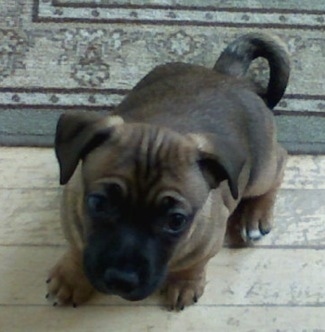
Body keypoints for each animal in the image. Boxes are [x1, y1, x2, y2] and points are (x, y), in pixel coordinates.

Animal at [45, 32, 288, 310]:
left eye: (176, 221)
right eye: (98, 203)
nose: (121, 279)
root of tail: (228, 76)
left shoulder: (208, 240)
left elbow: (195, 263)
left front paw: (184, 282)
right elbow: (77, 248)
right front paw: (71, 276)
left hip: (260, 172)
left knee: (279, 163)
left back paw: (256, 215)